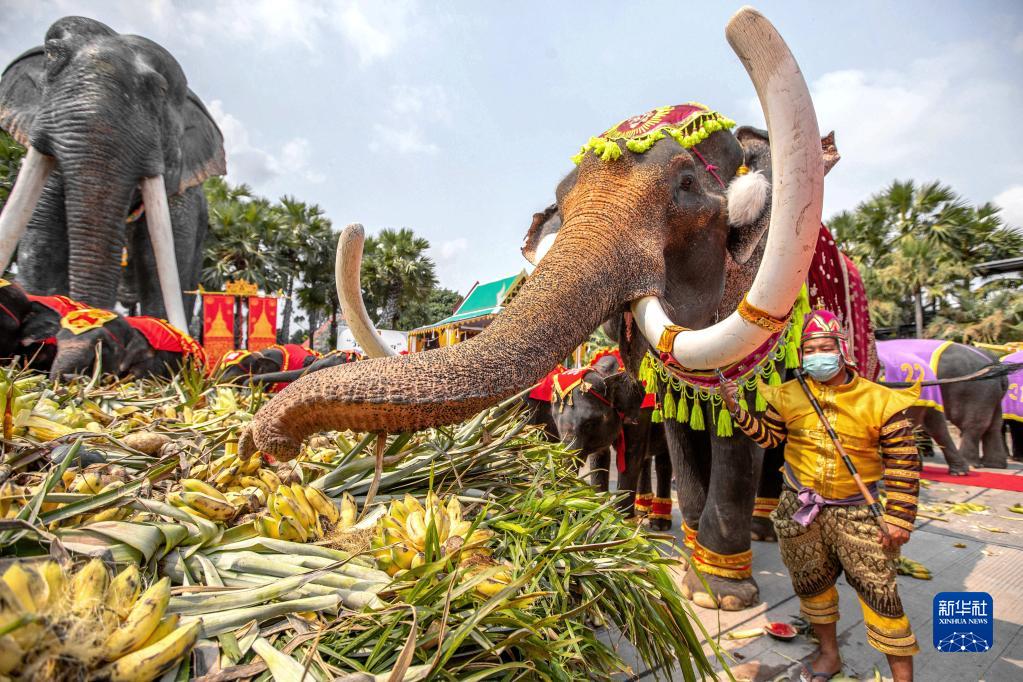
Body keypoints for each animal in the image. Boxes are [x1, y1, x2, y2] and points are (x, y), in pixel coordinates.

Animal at [243, 7, 826, 613]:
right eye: (562, 202)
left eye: (687, 184)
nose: (264, 446)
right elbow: (680, 428)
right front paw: (688, 575)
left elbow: (732, 431)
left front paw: (723, 598)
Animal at [875, 341, 1010, 474]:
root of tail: (995, 361)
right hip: (990, 395)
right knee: (993, 426)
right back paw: (992, 465)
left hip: (974, 392)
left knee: (972, 425)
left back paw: (969, 466)